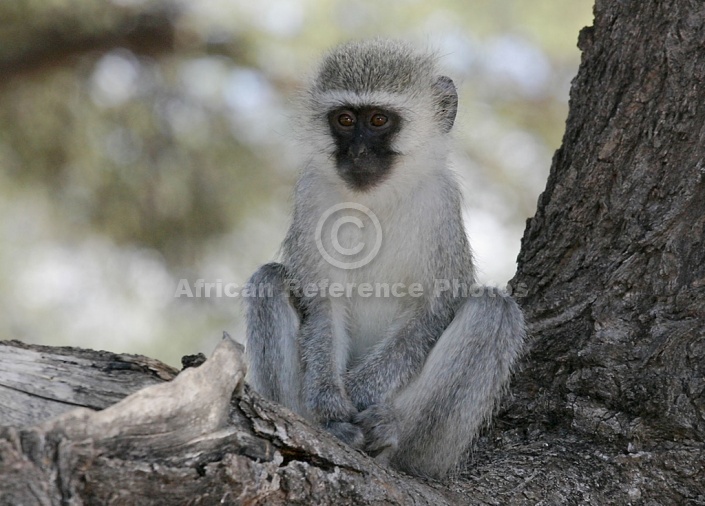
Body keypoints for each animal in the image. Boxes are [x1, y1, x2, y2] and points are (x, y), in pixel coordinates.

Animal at [245, 39, 524, 478]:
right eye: (344, 120)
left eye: (378, 120)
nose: (358, 151)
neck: (375, 201)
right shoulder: (311, 196)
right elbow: (323, 305)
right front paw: (331, 405)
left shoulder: (440, 204)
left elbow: (432, 309)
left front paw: (359, 393)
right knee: (268, 279)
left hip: (433, 452)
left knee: (493, 310)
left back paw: (390, 432)